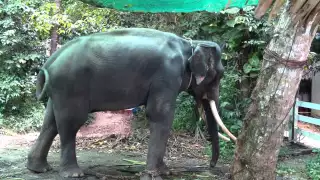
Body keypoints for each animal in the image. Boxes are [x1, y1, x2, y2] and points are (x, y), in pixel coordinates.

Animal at [26, 27, 236, 179]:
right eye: (218, 75)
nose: (211, 166)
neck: (190, 44)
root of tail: (49, 62)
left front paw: (165, 171)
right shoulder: (167, 76)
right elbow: (160, 114)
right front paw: (154, 174)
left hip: (59, 89)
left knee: (50, 123)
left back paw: (38, 169)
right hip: (71, 85)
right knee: (71, 123)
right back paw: (73, 174)